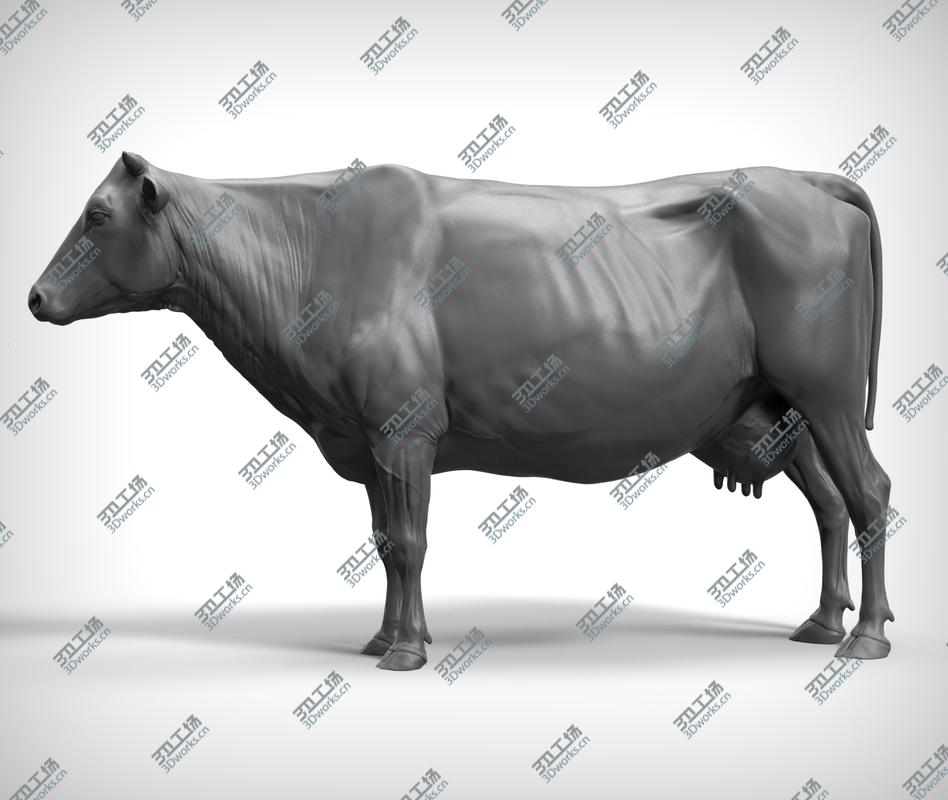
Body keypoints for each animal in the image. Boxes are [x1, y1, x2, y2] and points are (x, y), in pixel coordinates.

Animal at [29, 152, 893, 670]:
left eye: (98, 216)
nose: (34, 297)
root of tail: (809, 178)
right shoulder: (368, 437)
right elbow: (383, 541)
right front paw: (380, 637)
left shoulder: (401, 426)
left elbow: (409, 543)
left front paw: (407, 651)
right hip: (780, 410)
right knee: (829, 505)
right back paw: (822, 623)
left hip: (829, 396)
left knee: (870, 495)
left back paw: (866, 638)